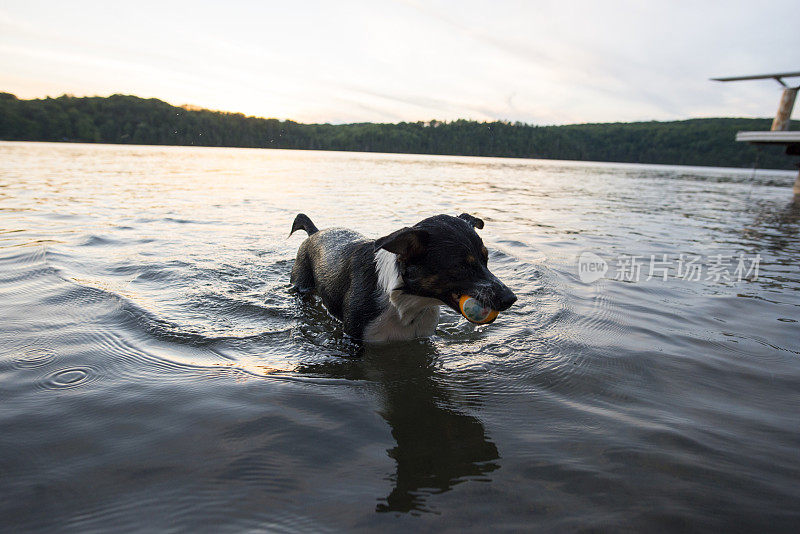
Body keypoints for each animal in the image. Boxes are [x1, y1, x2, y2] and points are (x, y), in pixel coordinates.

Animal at [290, 214, 516, 344]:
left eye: (486, 259)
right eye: (460, 266)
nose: (510, 298)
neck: (409, 302)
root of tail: (315, 232)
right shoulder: (355, 338)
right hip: (301, 285)